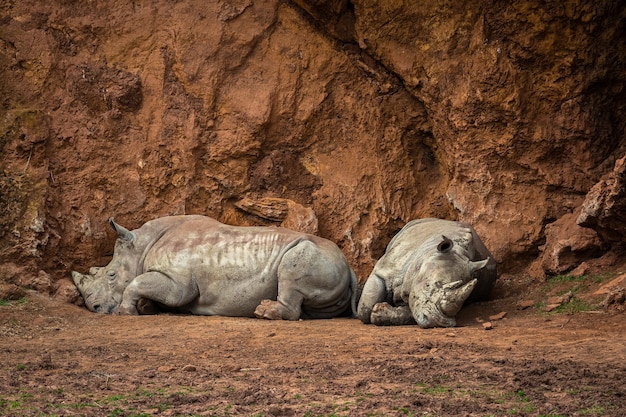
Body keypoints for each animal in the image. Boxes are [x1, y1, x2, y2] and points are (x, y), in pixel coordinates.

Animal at [71, 214, 356, 318]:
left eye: (111, 275)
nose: (94, 308)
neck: (142, 245)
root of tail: (349, 265)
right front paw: (145, 308)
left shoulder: (177, 284)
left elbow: (137, 282)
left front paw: (125, 312)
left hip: (313, 253)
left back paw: (264, 312)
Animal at [358, 218, 494, 328]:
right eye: (427, 286)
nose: (438, 323)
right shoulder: (382, 271)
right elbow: (364, 311)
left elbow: (410, 311)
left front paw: (379, 311)